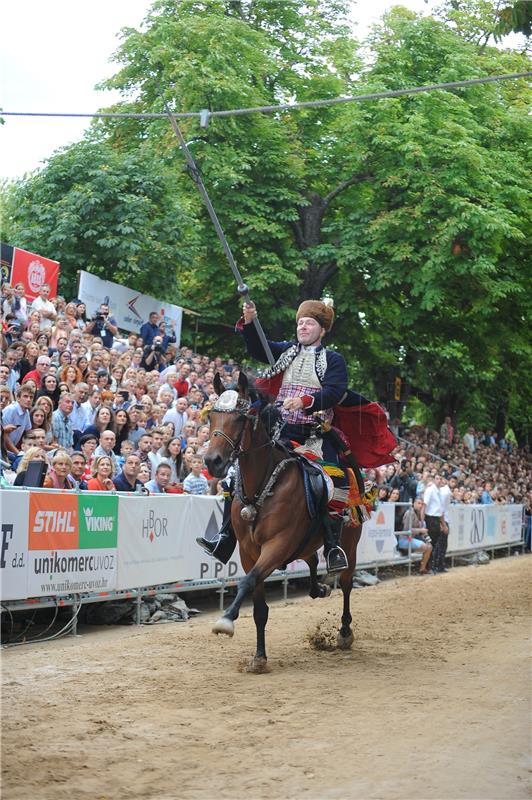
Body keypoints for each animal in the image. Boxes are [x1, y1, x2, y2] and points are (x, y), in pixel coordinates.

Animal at [204, 372, 362, 672]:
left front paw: (226, 620)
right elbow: (258, 607)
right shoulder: (248, 551)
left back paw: (345, 631)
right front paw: (259, 657)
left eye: (241, 418)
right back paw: (318, 588)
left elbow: (247, 582)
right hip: (303, 544)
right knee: (311, 560)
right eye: (212, 417)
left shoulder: (277, 545)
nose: (212, 461)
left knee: (347, 583)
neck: (263, 485)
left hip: (349, 542)